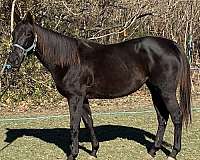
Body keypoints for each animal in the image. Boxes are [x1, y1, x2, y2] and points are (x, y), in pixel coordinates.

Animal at [6, 12, 191, 160]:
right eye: (13, 33)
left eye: (29, 34)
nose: (12, 61)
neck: (69, 61)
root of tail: (173, 45)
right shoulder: (83, 98)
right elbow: (88, 122)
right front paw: (94, 151)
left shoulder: (74, 97)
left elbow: (74, 125)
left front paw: (73, 154)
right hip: (155, 90)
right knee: (162, 117)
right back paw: (153, 150)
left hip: (166, 91)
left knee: (176, 116)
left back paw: (173, 153)